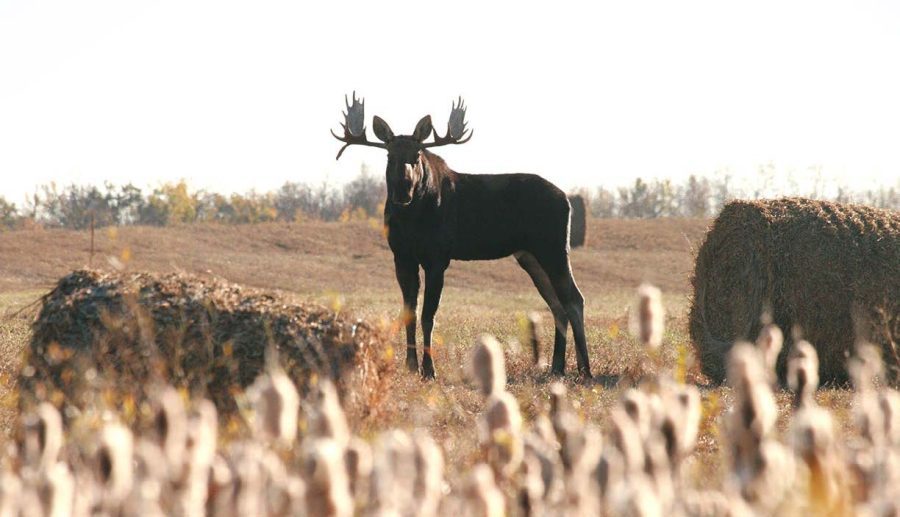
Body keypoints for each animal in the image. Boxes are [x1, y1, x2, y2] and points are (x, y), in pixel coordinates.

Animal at [332, 93, 591, 379]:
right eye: (389, 155)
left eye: (417, 154)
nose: (403, 190)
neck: (411, 220)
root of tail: (567, 199)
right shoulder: (401, 256)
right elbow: (409, 312)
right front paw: (410, 365)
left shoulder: (438, 258)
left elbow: (429, 315)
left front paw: (429, 369)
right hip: (529, 255)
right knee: (558, 305)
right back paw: (557, 368)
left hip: (553, 248)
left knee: (574, 299)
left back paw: (585, 369)